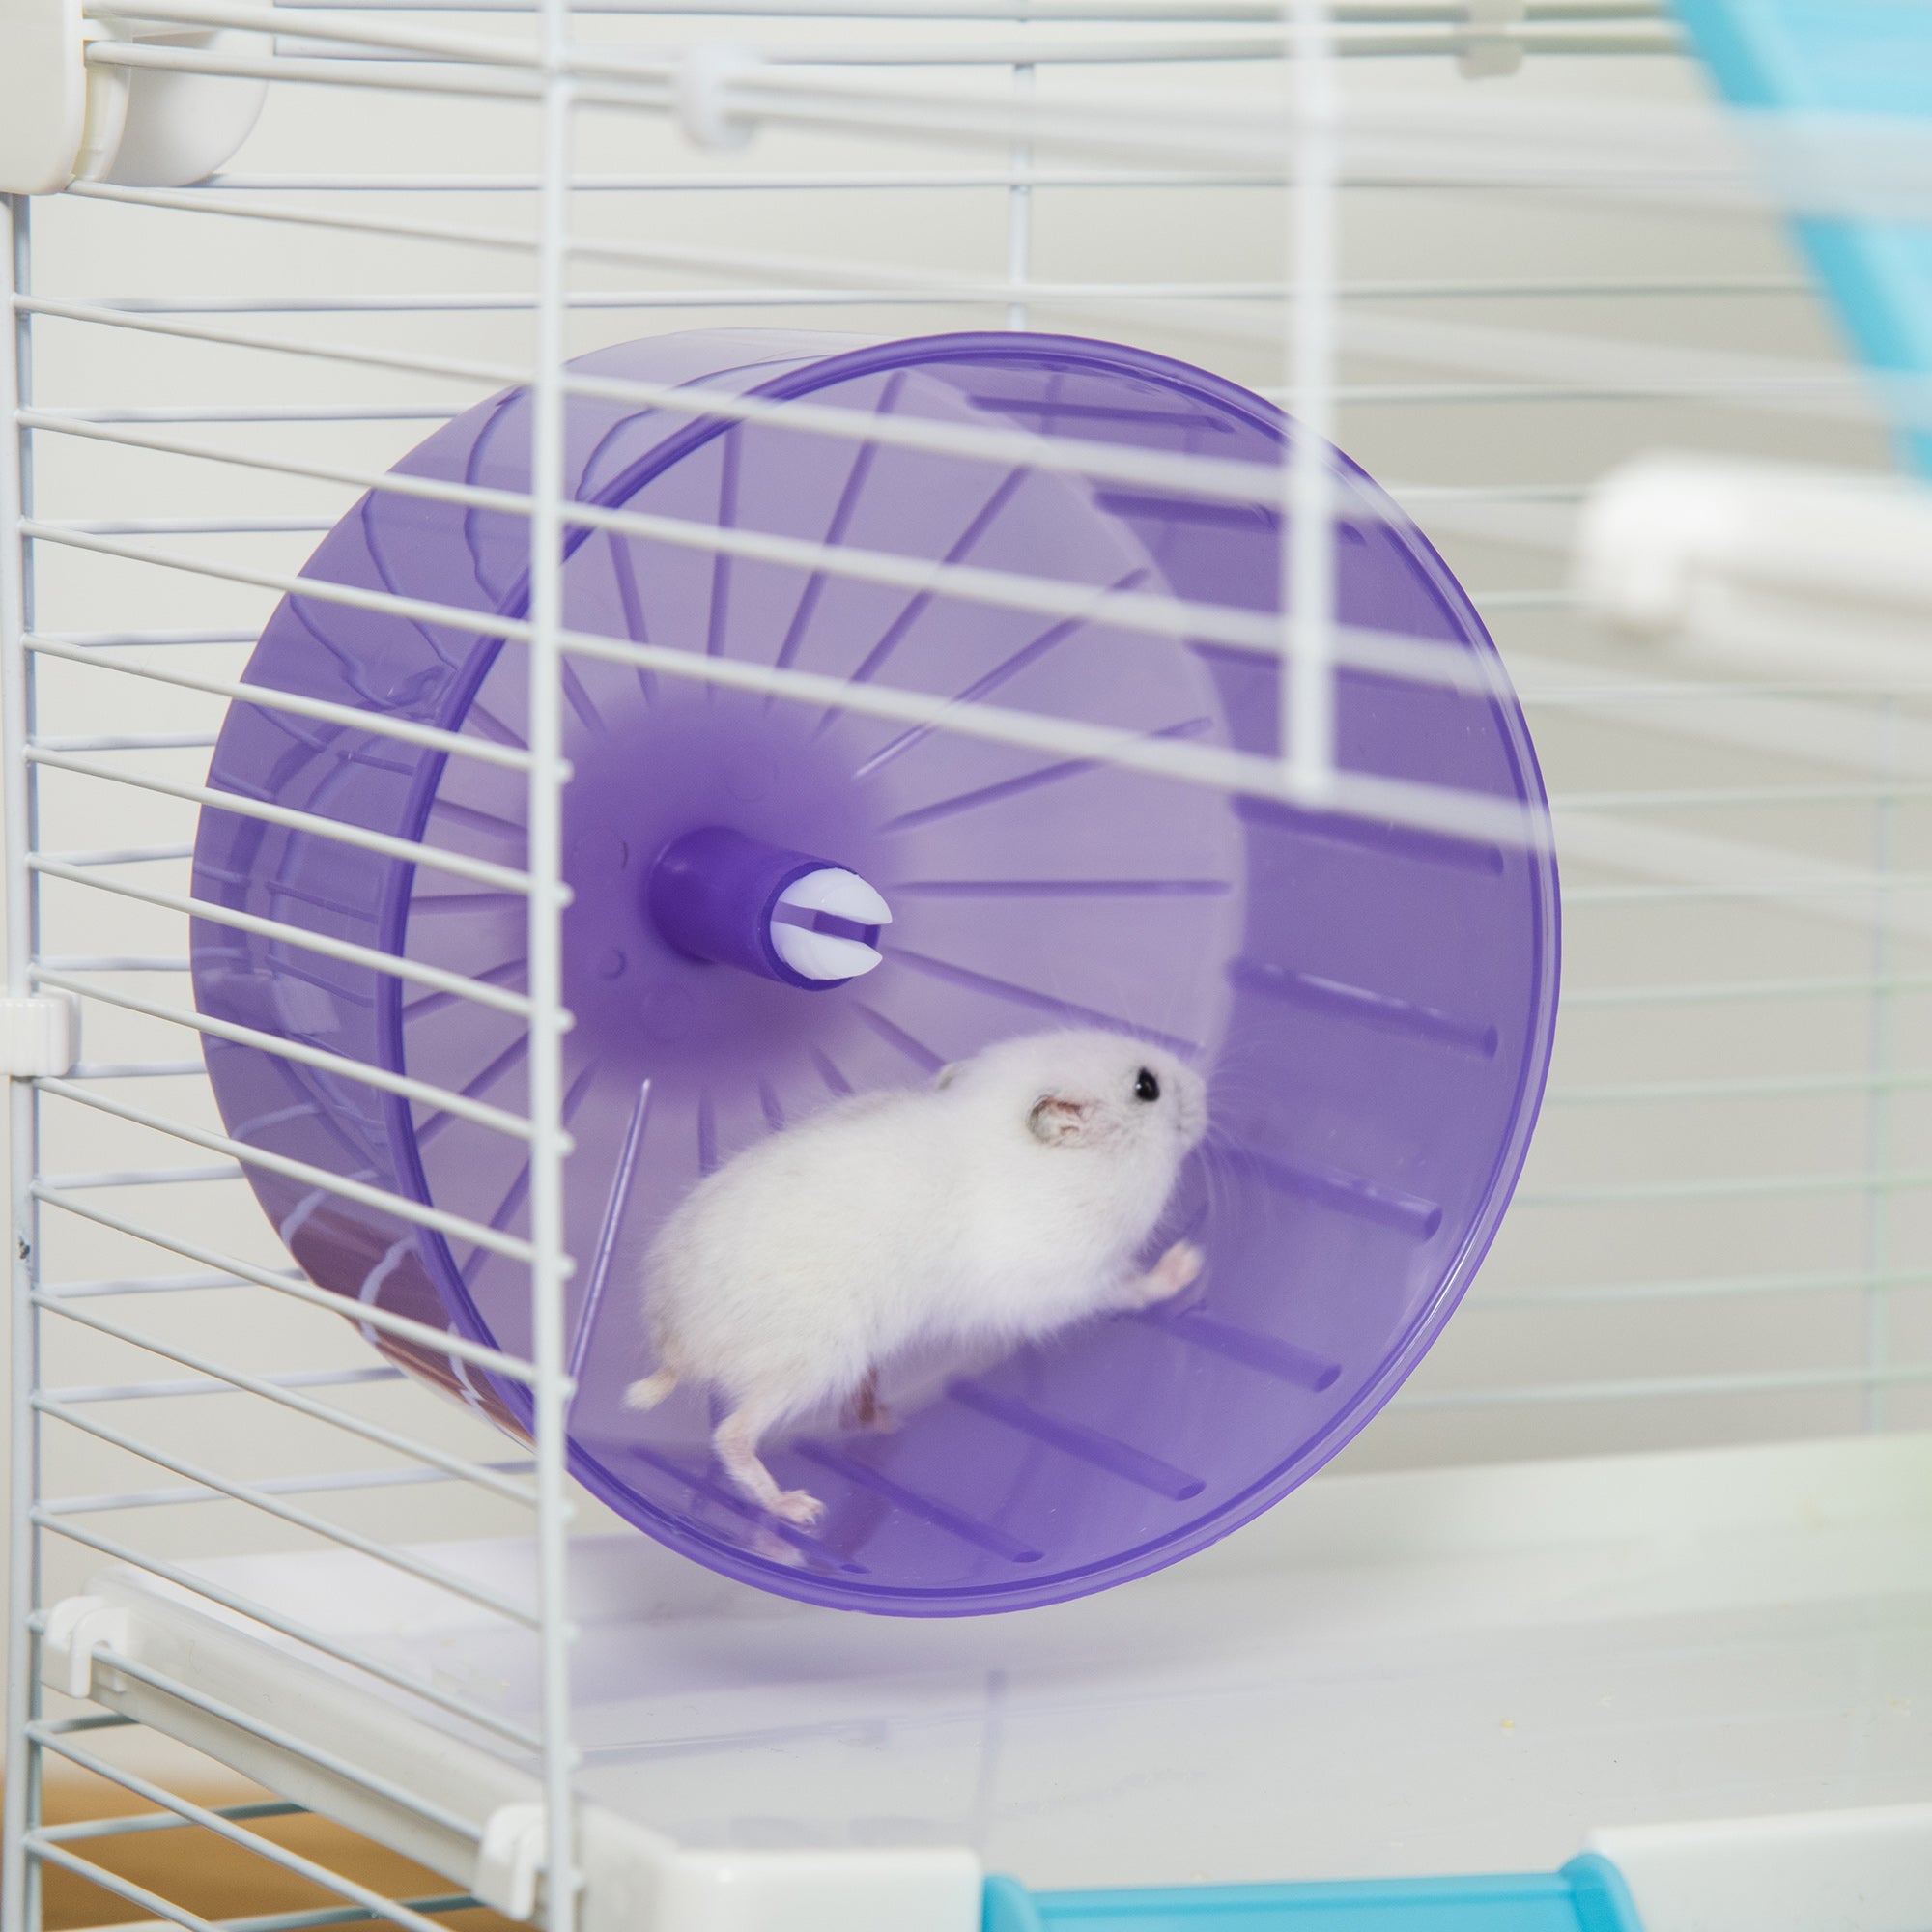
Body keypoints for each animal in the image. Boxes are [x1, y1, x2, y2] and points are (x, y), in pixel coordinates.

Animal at [626, 1028, 1206, 1522]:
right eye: (1146, 1087)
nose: (1203, 1084)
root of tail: (675, 1346)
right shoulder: (1074, 1280)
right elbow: (1132, 1287)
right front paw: (1189, 1263)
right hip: (810, 1361)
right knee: (732, 1435)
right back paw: (799, 1508)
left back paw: (883, 1419)